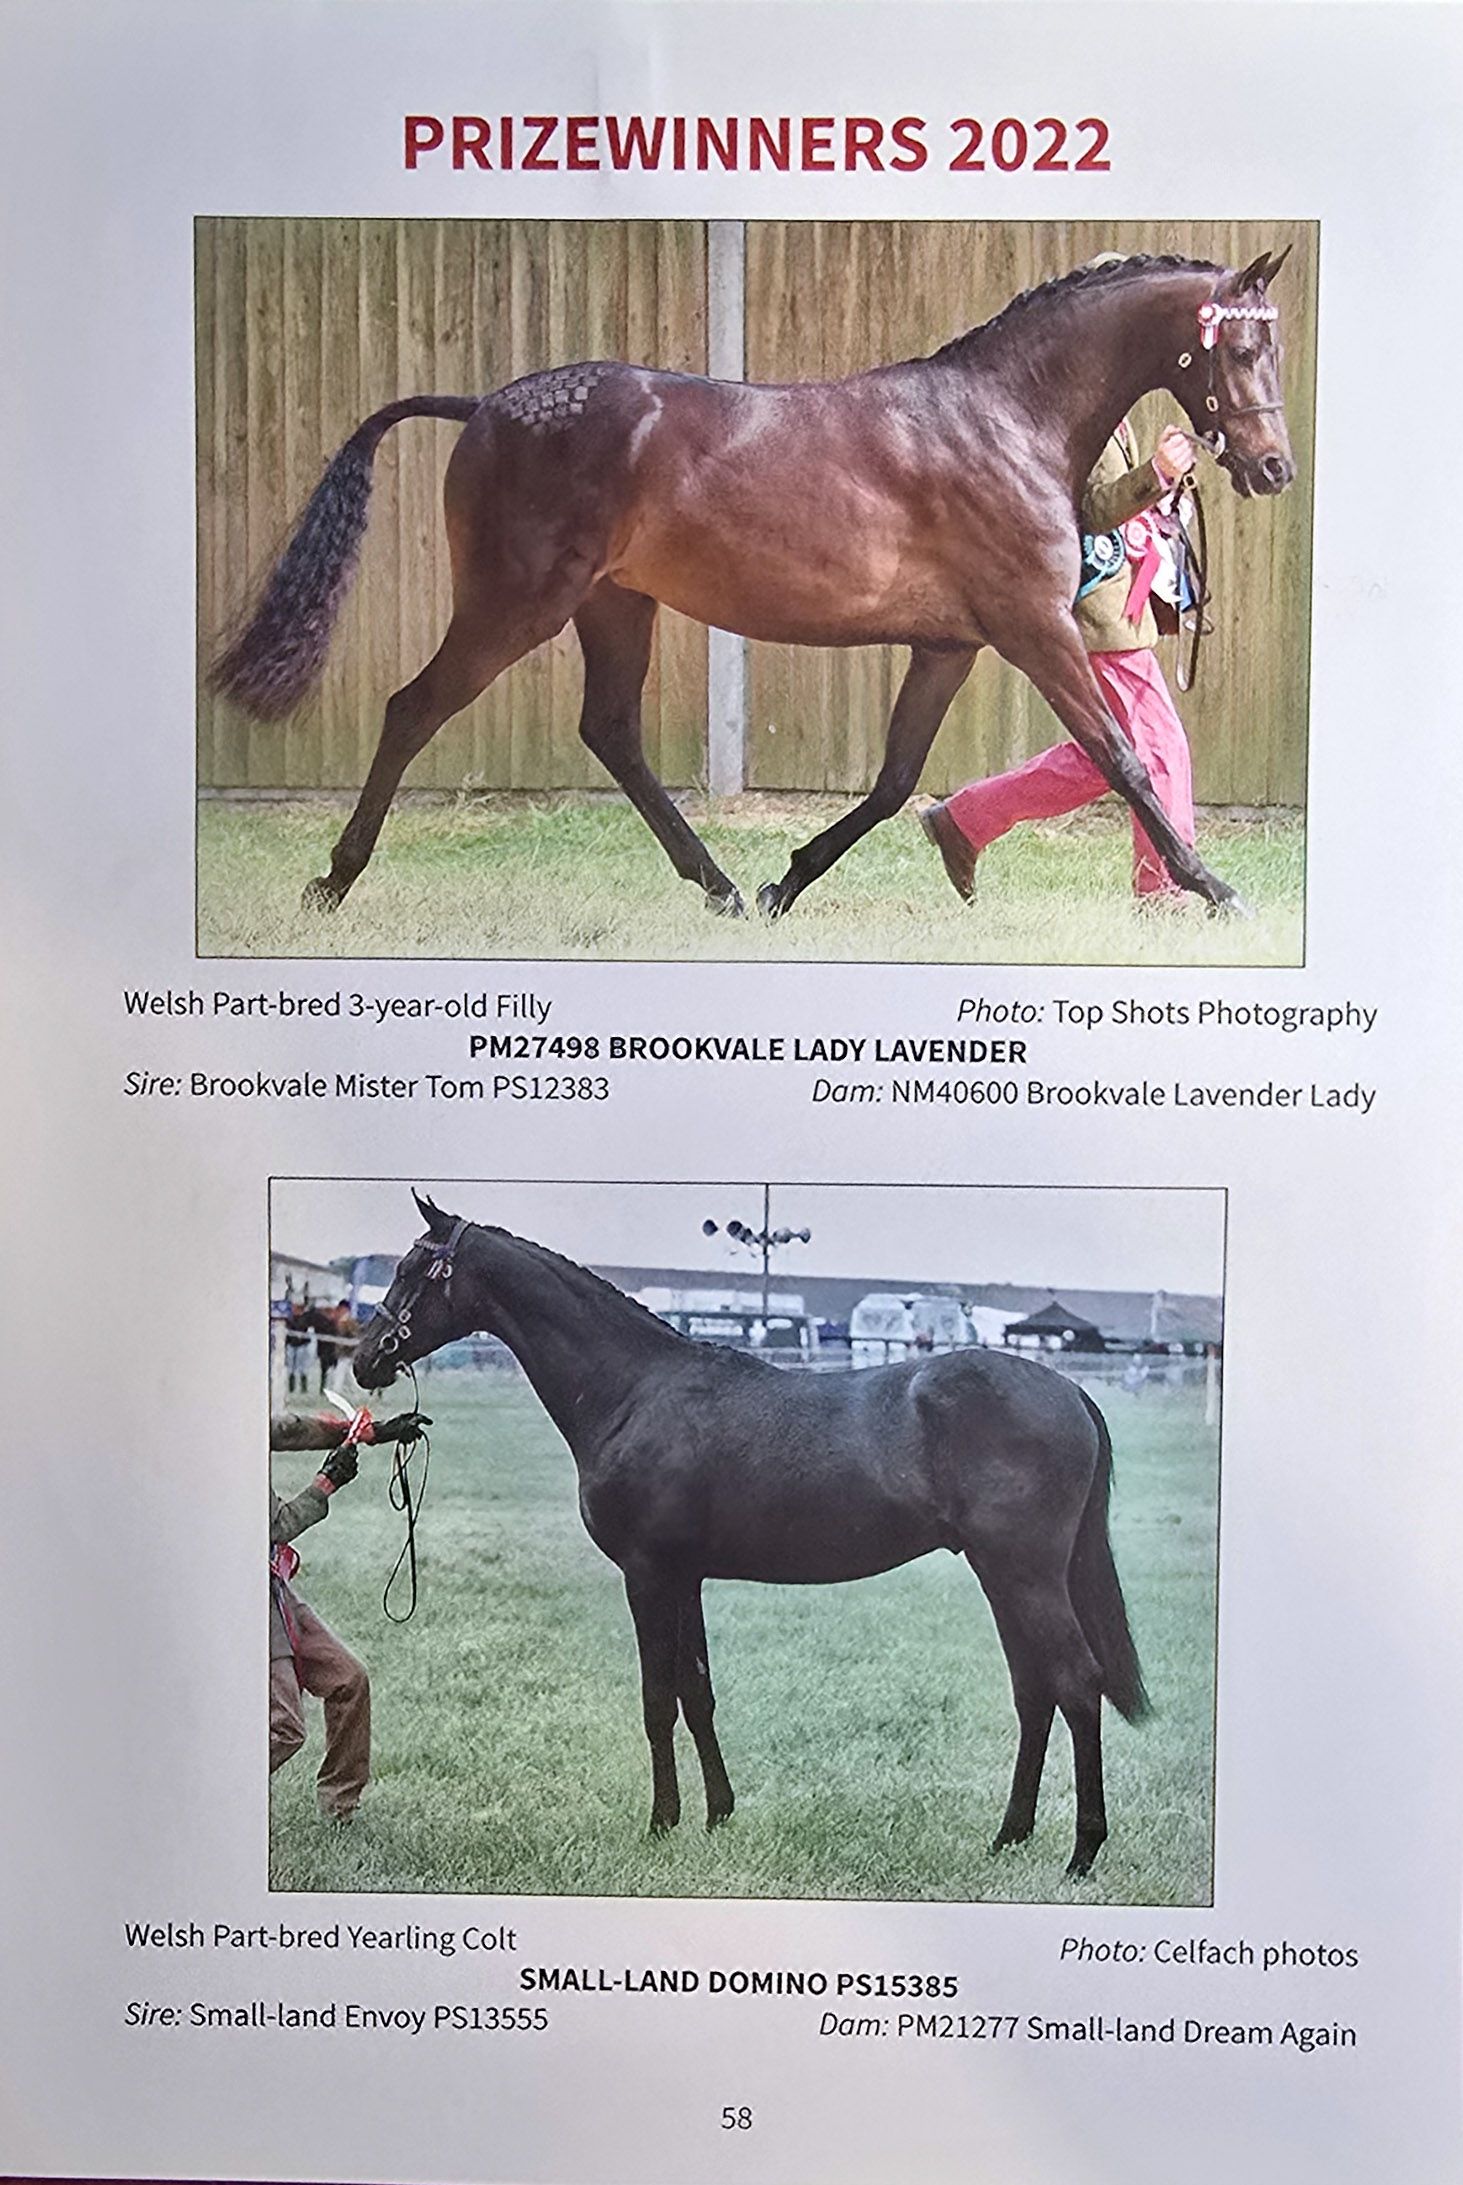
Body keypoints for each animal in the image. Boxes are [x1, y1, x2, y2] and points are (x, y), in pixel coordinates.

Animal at [211, 249, 1296, 924]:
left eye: (1268, 346)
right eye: (1240, 347)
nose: (1272, 466)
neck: (1001, 418)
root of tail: (484, 404)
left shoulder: (948, 643)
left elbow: (896, 778)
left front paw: (791, 882)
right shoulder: (1032, 625)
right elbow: (1120, 756)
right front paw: (1216, 889)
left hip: (613, 603)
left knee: (610, 731)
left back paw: (724, 888)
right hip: (516, 603)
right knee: (413, 707)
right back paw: (334, 880)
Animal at [352, 1194, 1151, 1879]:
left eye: (411, 1267)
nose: (365, 1358)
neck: (633, 1390)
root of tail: (1070, 1392)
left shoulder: (647, 1573)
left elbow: (657, 1698)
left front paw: (662, 1823)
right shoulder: (685, 1576)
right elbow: (696, 1692)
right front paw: (717, 1814)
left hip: (1023, 1573)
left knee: (1076, 1683)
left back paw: (1081, 1852)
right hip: (1001, 1574)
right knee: (1034, 1691)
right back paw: (1008, 1835)